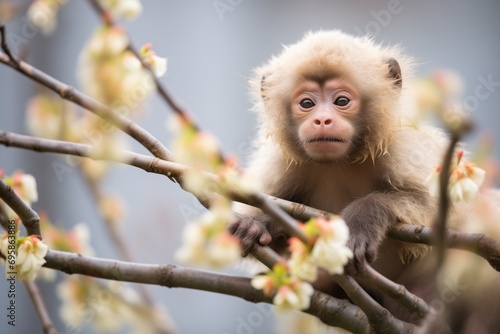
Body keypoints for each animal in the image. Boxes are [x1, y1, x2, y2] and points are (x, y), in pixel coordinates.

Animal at [231, 28, 500, 326]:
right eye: (307, 103)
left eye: (342, 101)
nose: (322, 120)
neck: (341, 163)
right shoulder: (282, 163)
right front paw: (260, 223)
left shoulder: (403, 146)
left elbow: (446, 214)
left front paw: (362, 221)